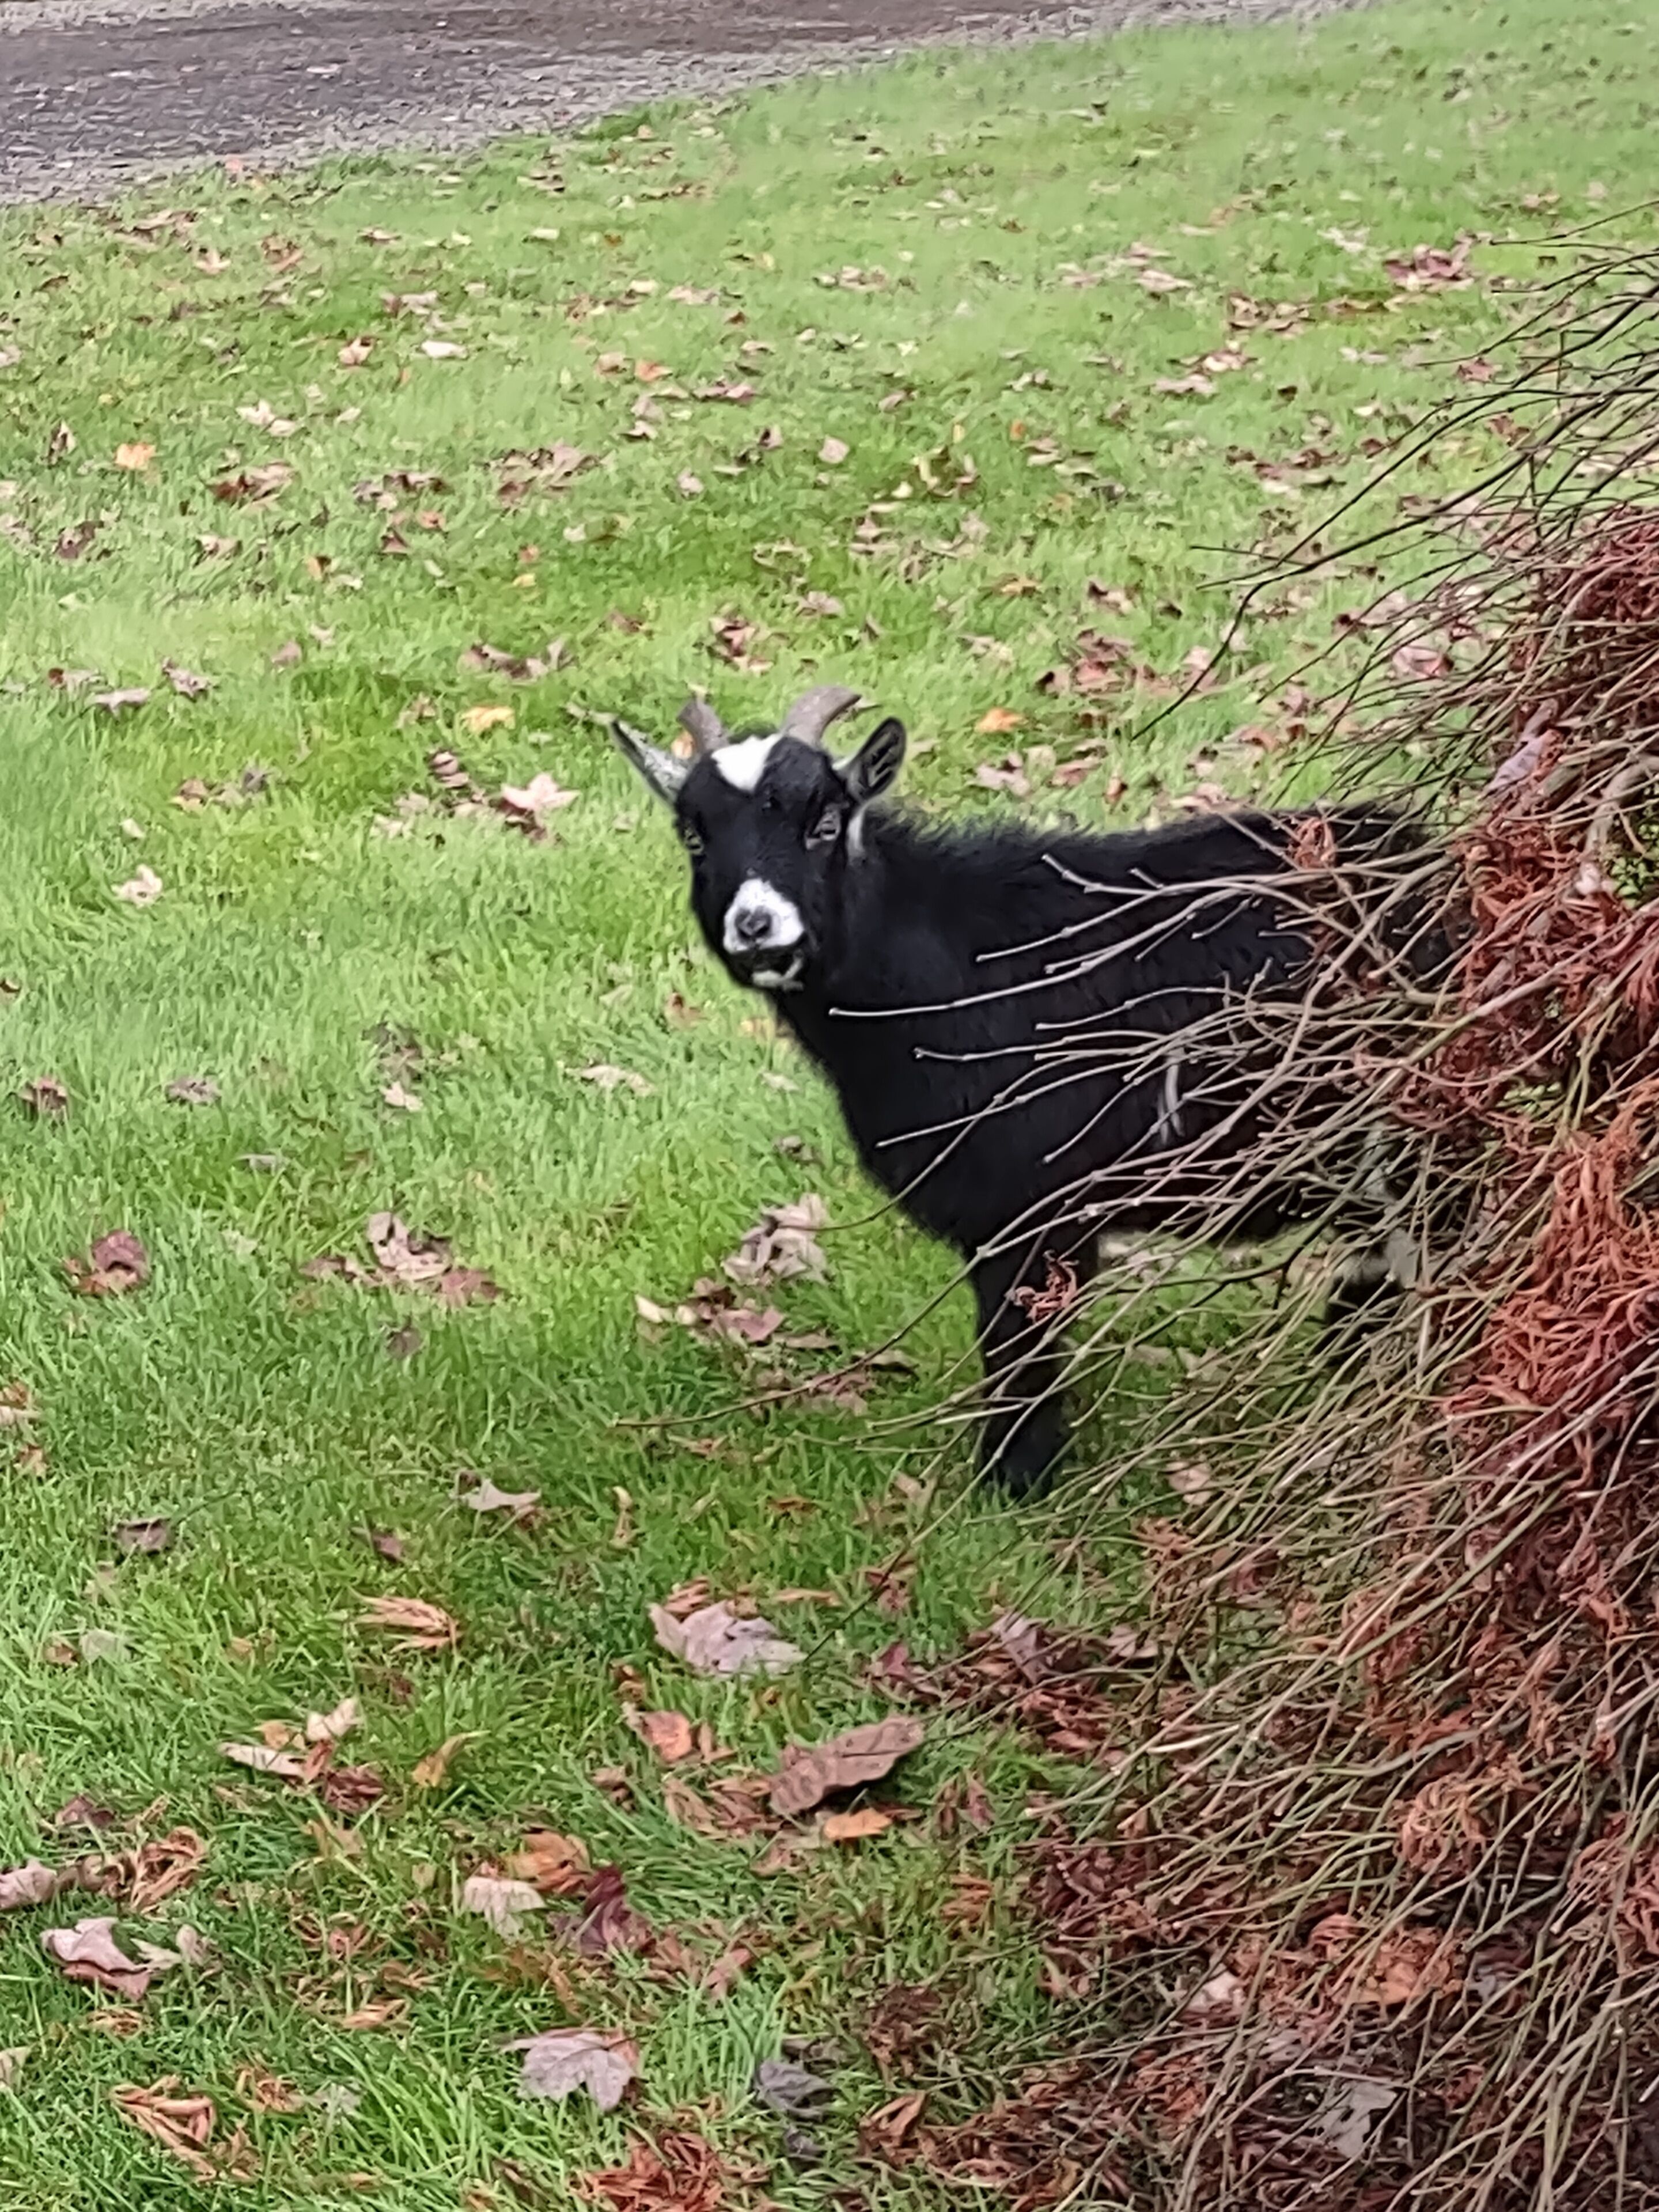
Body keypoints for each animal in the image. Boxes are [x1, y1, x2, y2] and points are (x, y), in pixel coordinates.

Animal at [615, 686, 1437, 1495]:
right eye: (694, 837)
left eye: (824, 824)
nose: (757, 927)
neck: (944, 969)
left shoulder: (1029, 1204)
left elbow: (1017, 1339)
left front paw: (1011, 1481)